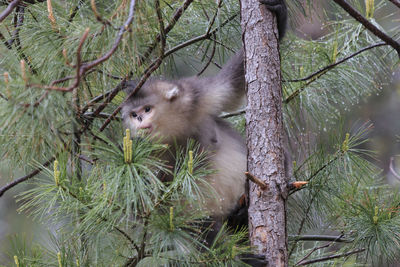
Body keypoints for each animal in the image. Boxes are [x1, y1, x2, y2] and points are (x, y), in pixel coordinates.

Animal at [120, 0, 286, 266]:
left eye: (147, 109)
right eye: (134, 115)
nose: (141, 121)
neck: (174, 130)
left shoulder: (195, 96)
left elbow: (232, 87)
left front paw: (279, 14)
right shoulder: (144, 153)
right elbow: (148, 203)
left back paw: (245, 210)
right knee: (200, 226)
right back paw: (236, 253)